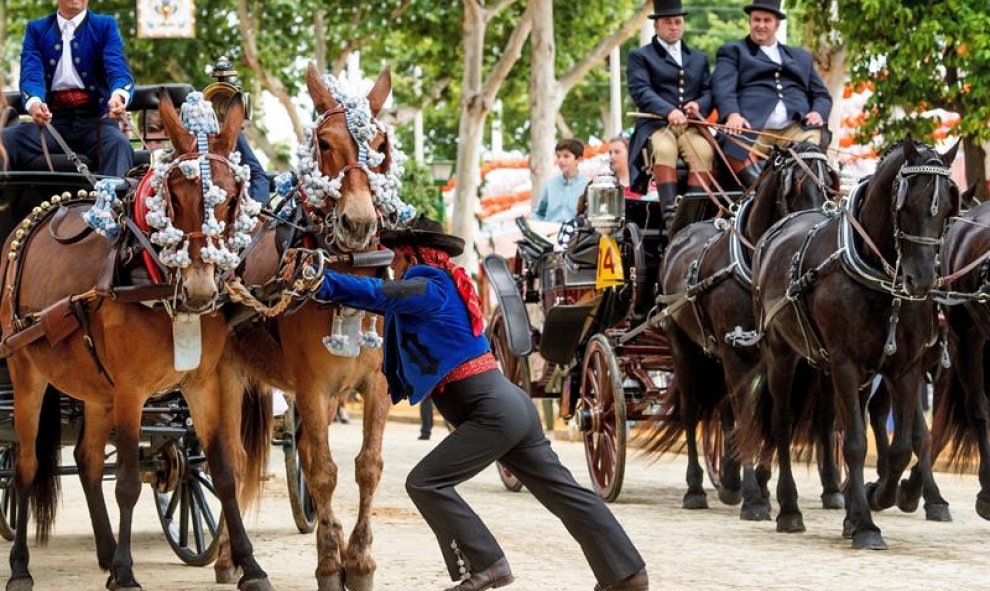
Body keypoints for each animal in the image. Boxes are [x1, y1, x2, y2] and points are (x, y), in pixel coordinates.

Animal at [652, 142, 844, 520]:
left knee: (727, 408)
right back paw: (696, 488)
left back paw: (730, 479)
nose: (817, 236)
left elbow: (771, 416)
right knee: (692, 410)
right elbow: (747, 414)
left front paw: (764, 483)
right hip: (684, 346)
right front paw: (756, 497)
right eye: (795, 187)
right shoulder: (736, 351)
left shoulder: (781, 353)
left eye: (829, 183)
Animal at [748, 140, 956, 552]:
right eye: (906, 205)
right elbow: (857, 443)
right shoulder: (845, 363)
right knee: (782, 424)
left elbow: (902, 444)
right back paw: (788, 508)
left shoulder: (906, 368)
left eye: (946, 209)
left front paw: (880, 495)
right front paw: (865, 525)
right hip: (781, 354)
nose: (922, 281)